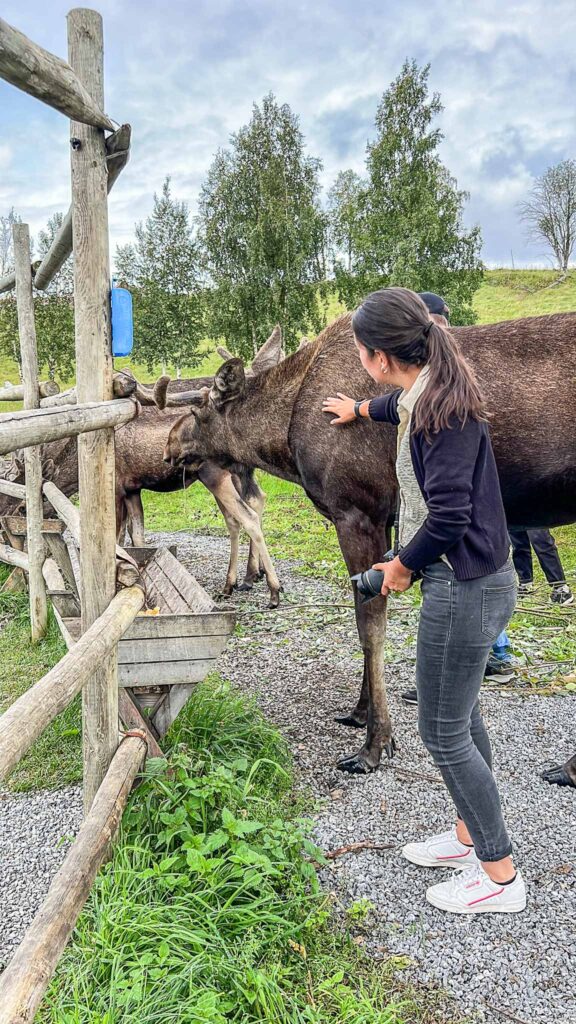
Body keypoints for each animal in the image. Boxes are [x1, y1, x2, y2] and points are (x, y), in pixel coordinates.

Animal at [161, 310, 576, 774]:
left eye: (198, 410)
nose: (168, 445)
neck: (284, 440)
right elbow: (362, 621)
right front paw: (359, 712)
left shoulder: (358, 513)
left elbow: (371, 629)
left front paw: (375, 743)